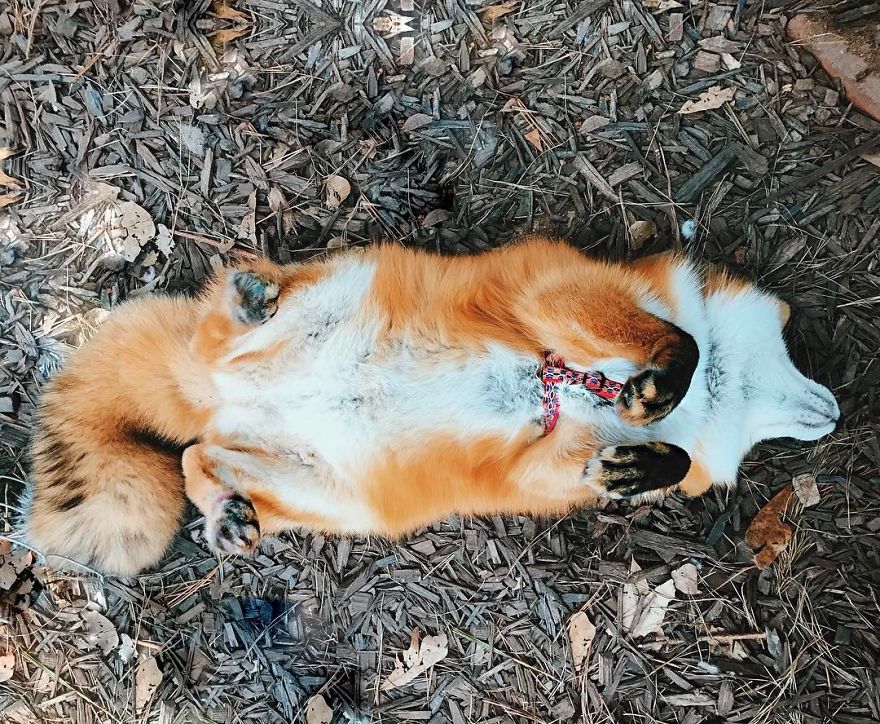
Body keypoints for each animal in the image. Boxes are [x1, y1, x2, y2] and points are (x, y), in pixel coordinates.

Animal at [20, 238, 839, 576]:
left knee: (197, 454)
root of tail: (222, 398)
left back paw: (225, 512)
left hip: (330, 497)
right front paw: (662, 388)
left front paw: (644, 467)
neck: (578, 385)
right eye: (790, 342)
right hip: (335, 288)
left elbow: (639, 458)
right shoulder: (558, 298)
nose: (834, 410)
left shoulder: (541, 465)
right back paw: (251, 302)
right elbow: (683, 345)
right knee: (221, 339)